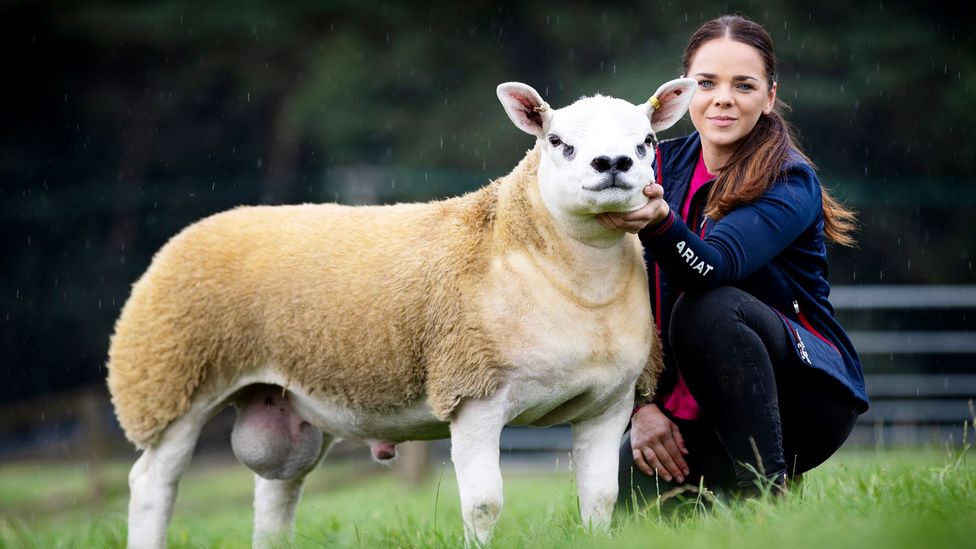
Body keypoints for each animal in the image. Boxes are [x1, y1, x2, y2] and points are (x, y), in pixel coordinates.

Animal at [108, 78, 692, 548]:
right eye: (557, 142)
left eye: (647, 141)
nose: (612, 164)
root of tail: (195, 229)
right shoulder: (473, 392)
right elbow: (484, 503)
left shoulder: (609, 404)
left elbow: (600, 499)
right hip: (170, 381)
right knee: (152, 485)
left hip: (283, 399)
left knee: (277, 493)